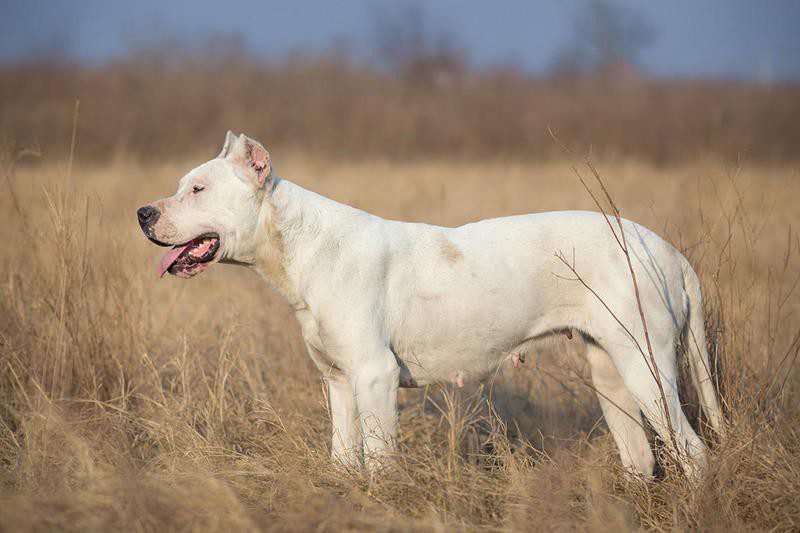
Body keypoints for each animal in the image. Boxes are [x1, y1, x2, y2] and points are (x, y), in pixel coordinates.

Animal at [139, 131, 724, 476]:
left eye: (198, 189)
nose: (143, 212)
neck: (301, 244)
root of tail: (668, 251)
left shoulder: (373, 377)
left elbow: (378, 463)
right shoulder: (338, 384)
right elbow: (344, 459)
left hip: (646, 368)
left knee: (692, 452)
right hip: (612, 375)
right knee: (641, 455)